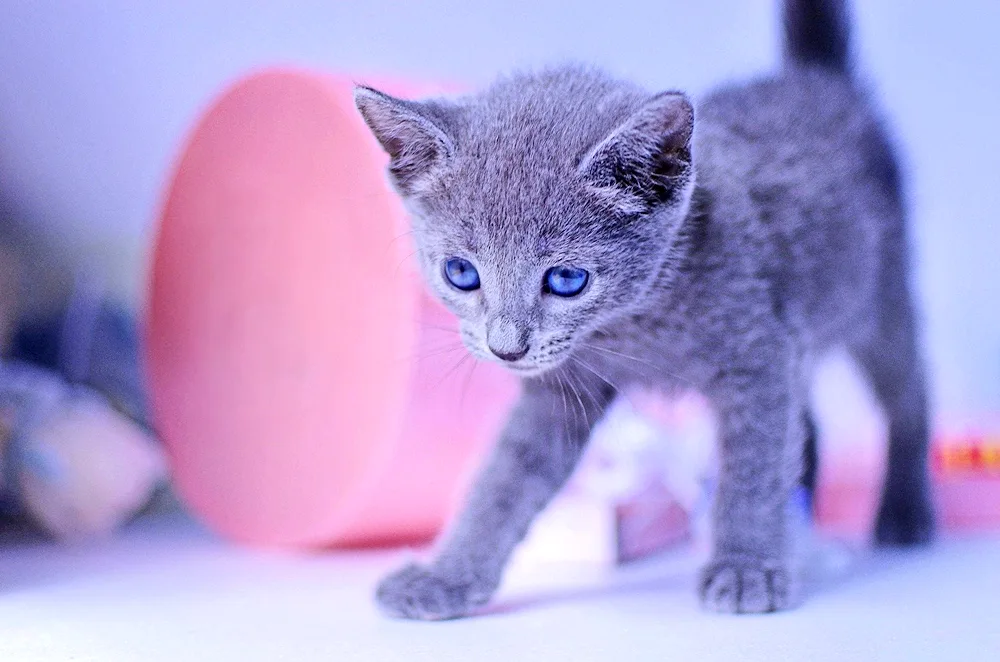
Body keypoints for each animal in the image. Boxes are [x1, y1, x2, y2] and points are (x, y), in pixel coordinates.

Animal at [356, 0, 932, 624]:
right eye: (461, 273)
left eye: (566, 279)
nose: (506, 348)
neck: (638, 319)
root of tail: (812, 81)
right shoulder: (561, 389)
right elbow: (504, 478)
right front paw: (447, 575)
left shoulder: (760, 359)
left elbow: (752, 467)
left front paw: (747, 567)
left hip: (884, 297)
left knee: (908, 393)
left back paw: (904, 512)